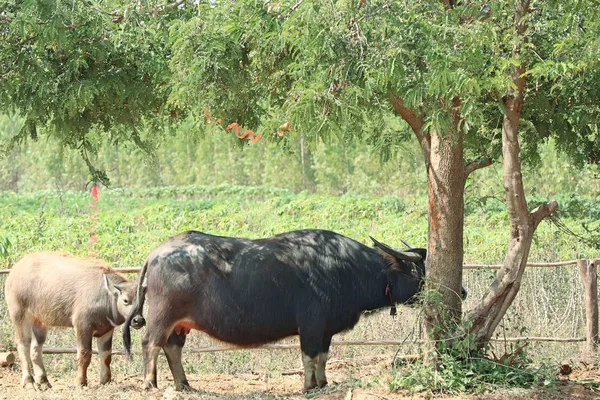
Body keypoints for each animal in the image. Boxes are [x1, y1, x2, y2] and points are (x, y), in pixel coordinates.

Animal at [4, 253, 137, 390]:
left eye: (141, 301)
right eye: (126, 300)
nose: (138, 320)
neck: (105, 296)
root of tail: (15, 270)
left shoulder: (107, 329)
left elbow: (106, 355)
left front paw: (105, 381)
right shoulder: (82, 326)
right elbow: (85, 354)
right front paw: (81, 382)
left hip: (39, 321)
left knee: (35, 349)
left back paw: (44, 381)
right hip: (19, 315)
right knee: (23, 345)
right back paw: (29, 382)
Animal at [123, 230, 432, 392]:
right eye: (417, 271)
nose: (433, 291)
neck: (345, 268)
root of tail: (156, 254)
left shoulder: (326, 330)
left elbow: (323, 357)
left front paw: (322, 383)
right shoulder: (310, 325)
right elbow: (309, 356)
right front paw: (308, 387)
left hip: (180, 324)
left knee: (172, 348)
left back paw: (184, 385)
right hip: (163, 316)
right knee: (150, 344)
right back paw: (149, 384)